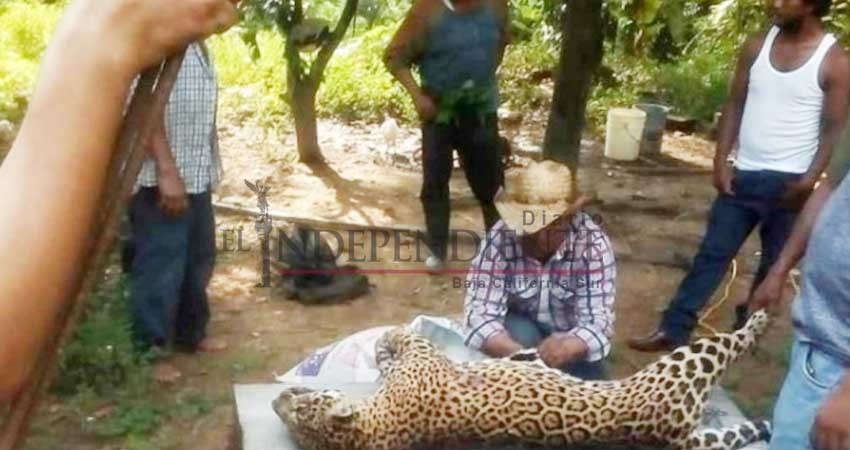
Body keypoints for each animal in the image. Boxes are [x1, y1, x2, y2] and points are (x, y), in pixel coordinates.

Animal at [273, 310, 772, 450]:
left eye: (298, 405)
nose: (278, 401)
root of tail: (669, 435)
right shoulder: (421, 358)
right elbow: (398, 340)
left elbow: (389, 346)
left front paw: (531, 355)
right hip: (688, 361)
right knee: (736, 339)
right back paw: (762, 316)